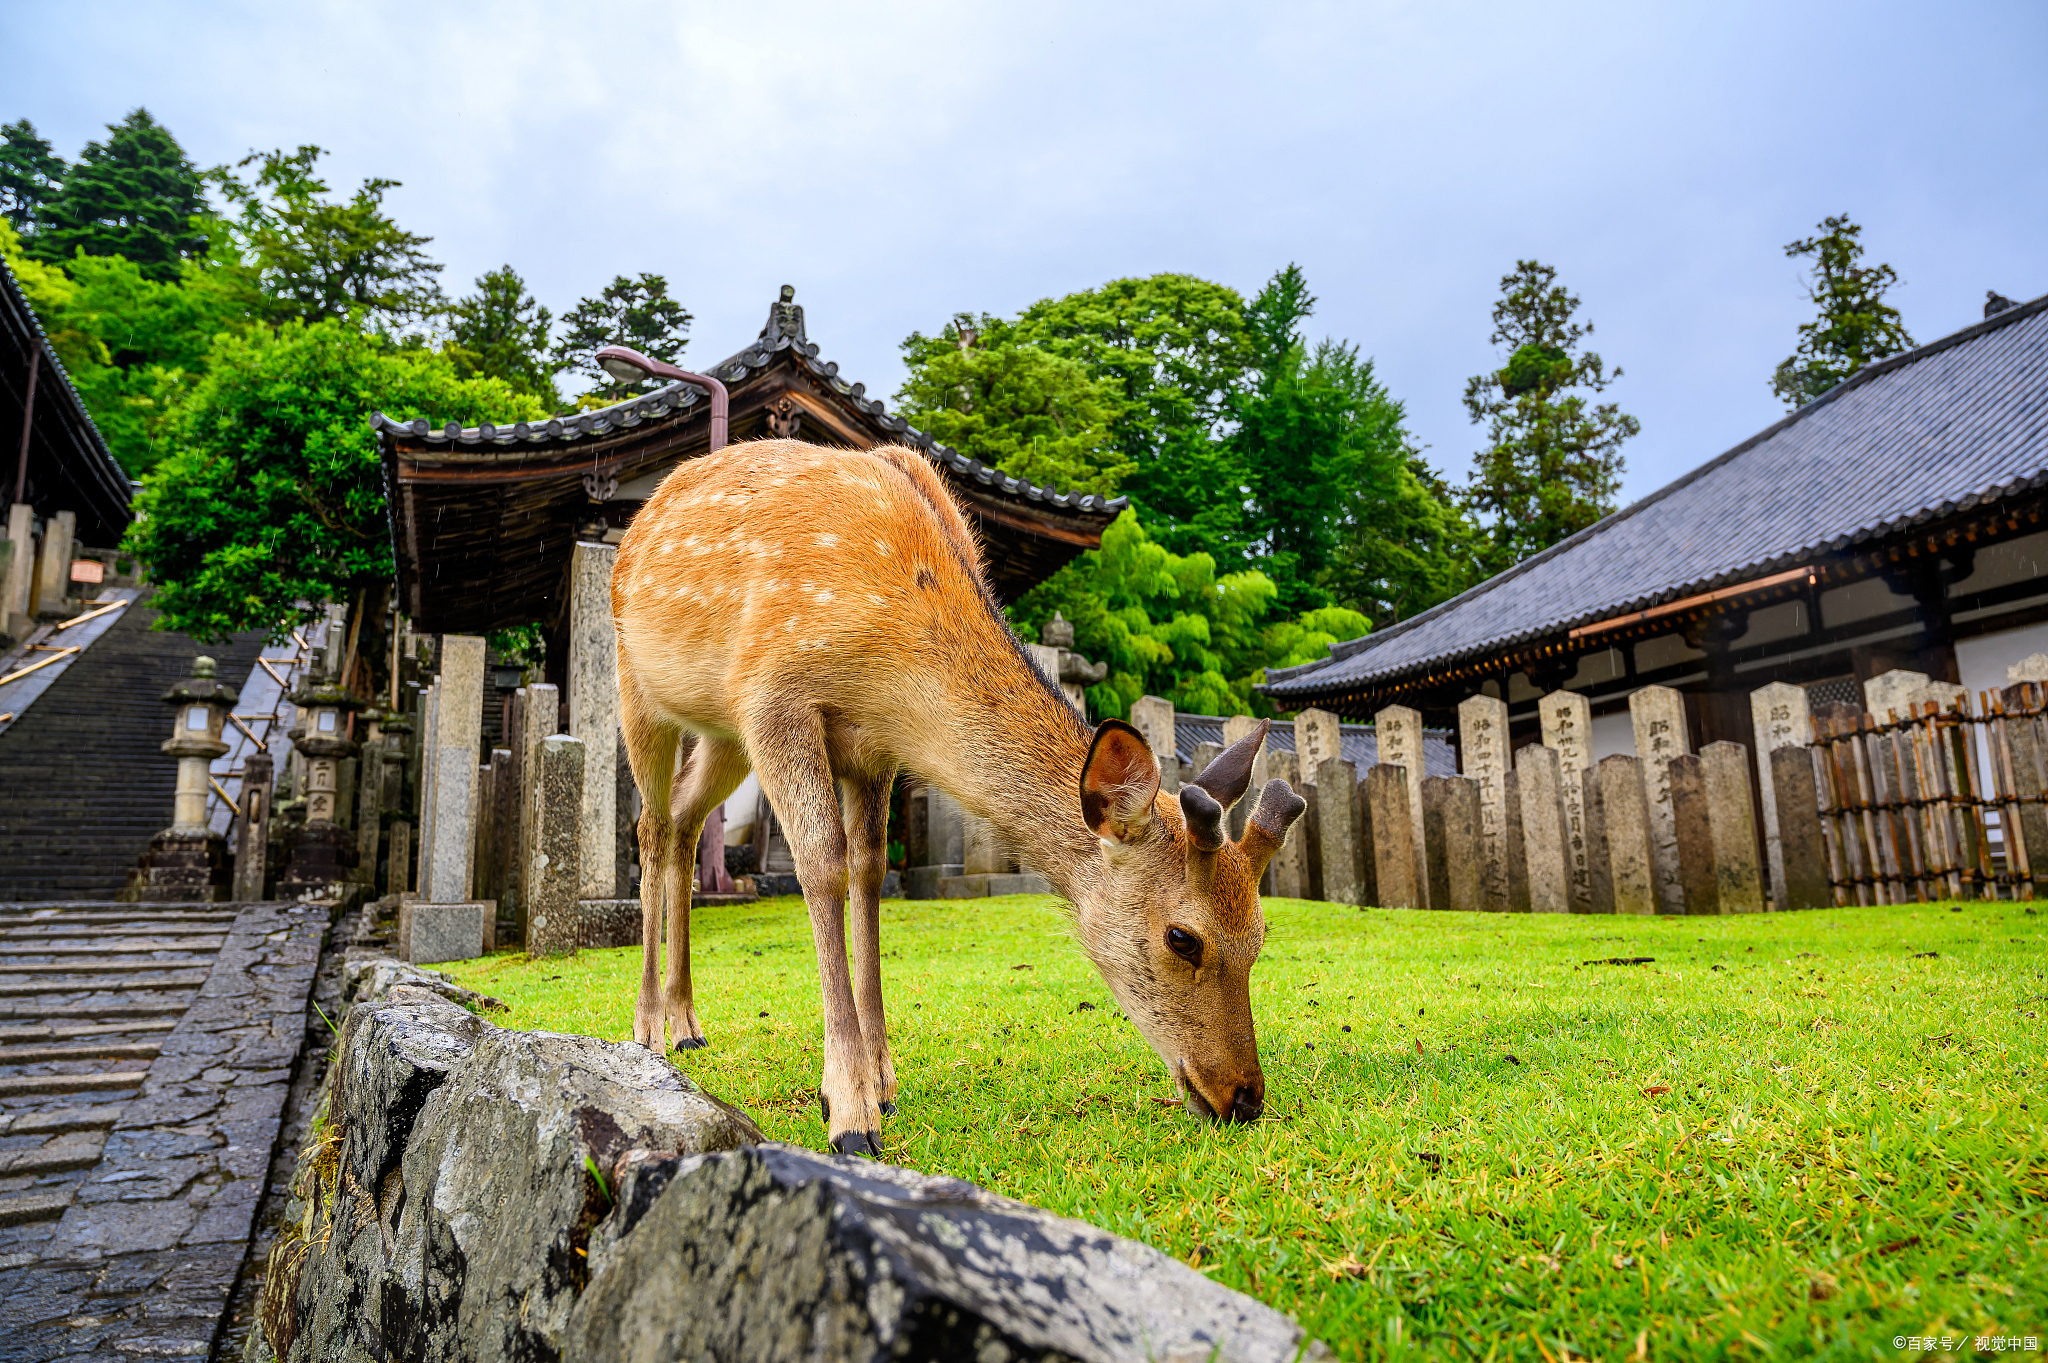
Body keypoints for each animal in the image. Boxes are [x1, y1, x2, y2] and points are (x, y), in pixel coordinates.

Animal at [613, 438, 1306, 1156]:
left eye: (1260, 932)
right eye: (1182, 937)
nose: (1244, 1097)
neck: (891, 672)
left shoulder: (870, 746)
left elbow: (867, 873)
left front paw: (884, 1082)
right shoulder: (773, 699)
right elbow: (823, 866)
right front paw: (848, 1112)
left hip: (721, 733)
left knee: (686, 816)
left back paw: (688, 1023)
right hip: (638, 684)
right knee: (650, 824)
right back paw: (648, 1029)